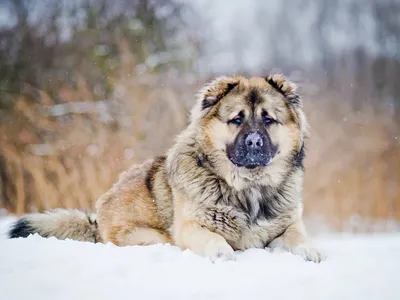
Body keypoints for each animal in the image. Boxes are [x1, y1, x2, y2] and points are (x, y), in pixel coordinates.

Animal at [8, 74, 324, 262]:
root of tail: (96, 218)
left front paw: (310, 250)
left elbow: (297, 237)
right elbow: (213, 237)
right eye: (237, 119)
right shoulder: (191, 226)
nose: (255, 141)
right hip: (150, 237)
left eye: (268, 120)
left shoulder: (288, 225)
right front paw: (223, 253)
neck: (248, 188)